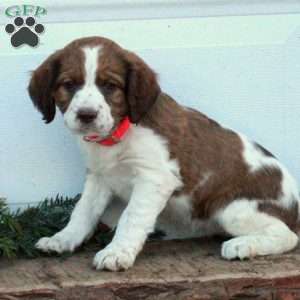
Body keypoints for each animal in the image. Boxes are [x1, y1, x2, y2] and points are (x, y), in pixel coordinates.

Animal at [28, 36, 300, 270]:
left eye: (109, 86)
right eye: (68, 84)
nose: (87, 115)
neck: (118, 134)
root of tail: (294, 204)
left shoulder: (154, 178)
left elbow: (131, 217)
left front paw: (116, 253)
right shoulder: (99, 176)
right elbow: (83, 212)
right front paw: (62, 239)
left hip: (232, 209)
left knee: (287, 235)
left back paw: (243, 245)